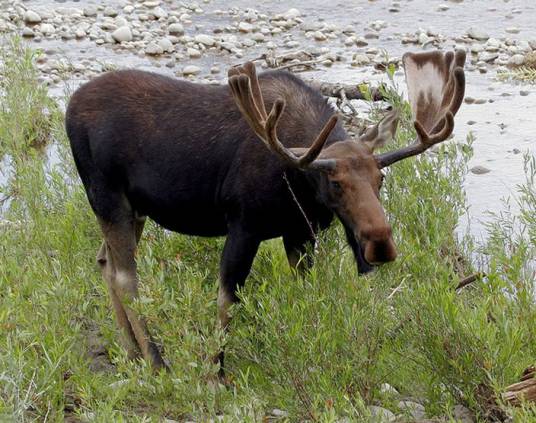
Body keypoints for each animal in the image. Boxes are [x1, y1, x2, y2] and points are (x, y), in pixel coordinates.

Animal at [66, 48, 464, 374]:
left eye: (380, 178)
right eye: (335, 183)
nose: (380, 244)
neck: (300, 181)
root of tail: (69, 109)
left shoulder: (299, 232)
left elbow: (307, 294)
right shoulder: (244, 225)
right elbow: (228, 300)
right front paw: (215, 371)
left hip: (136, 209)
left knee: (105, 262)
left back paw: (131, 353)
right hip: (108, 196)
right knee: (125, 277)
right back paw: (155, 360)